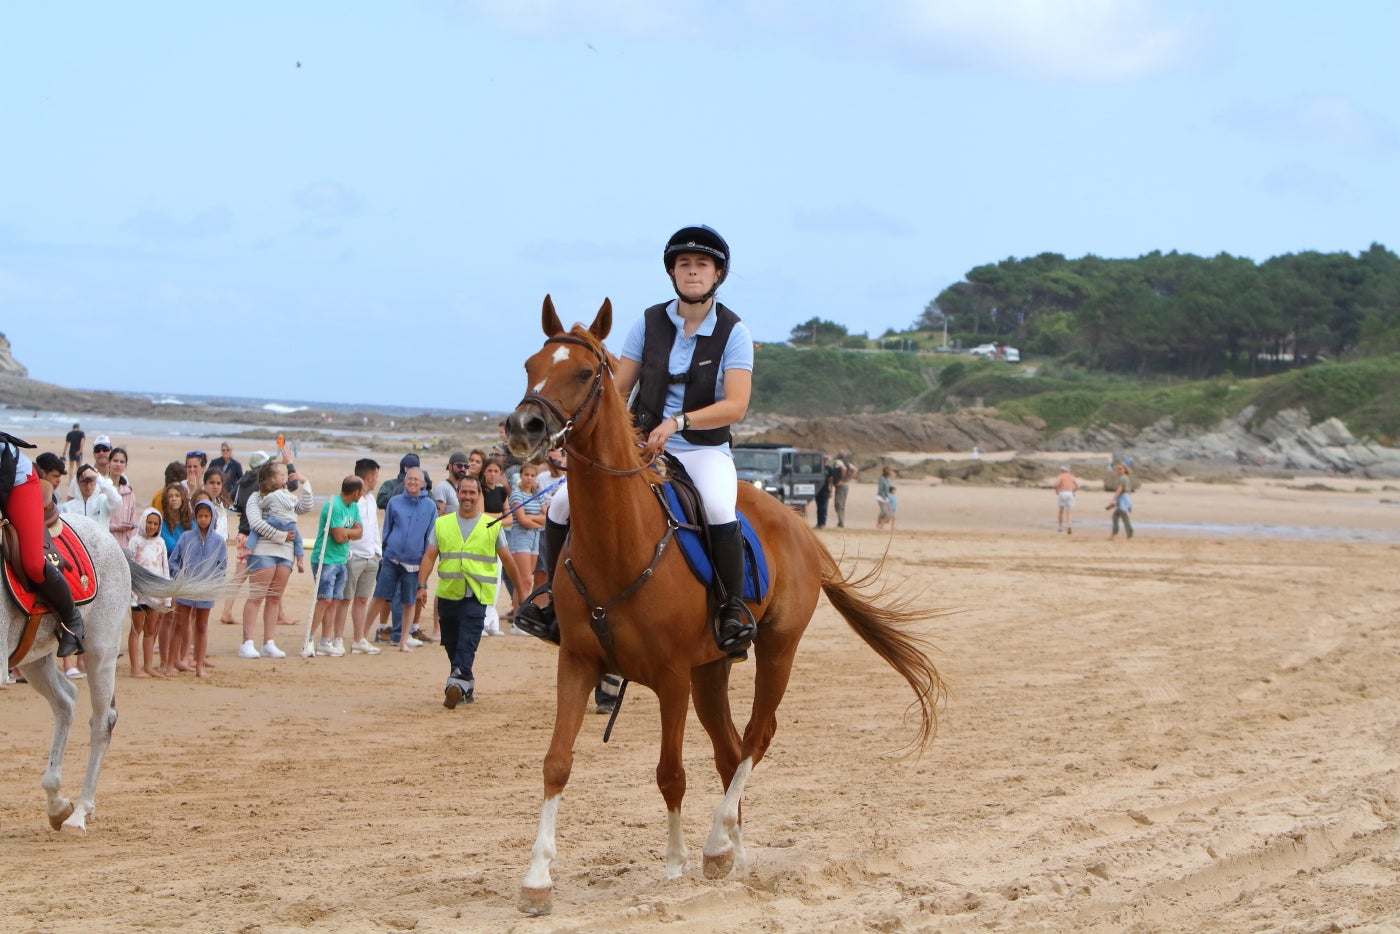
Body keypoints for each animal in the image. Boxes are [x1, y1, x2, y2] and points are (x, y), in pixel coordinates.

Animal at [509, 301, 946, 918]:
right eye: (532, 365)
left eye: (584, 373)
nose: (522, 426)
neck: (620, 541)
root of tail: (798, 527)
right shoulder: (577, 663)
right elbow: (556, 763)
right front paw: (538, 879)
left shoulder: (669, 678)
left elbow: (670, 772)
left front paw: (675, 865)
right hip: (710, 671)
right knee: (730, 749)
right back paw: (734, 851)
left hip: (776, 651)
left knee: (757, 737)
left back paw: (717, 845)